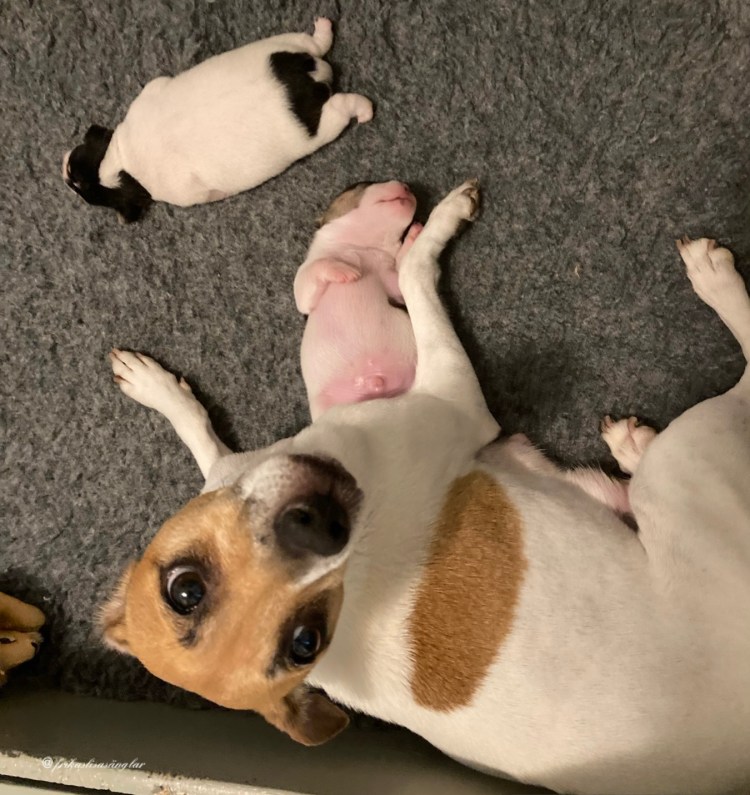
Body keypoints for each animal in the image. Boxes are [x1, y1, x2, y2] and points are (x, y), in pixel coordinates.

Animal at [62, 18, 372, 222]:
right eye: (76, 164)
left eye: (80, 188)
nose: (63, 173)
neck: (122, 161)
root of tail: (307, 75)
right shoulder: (152, 90)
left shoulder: (187, 193)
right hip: (278, 45)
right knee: (313, 42)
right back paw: (322, 28)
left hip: (320, 127)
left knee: (340, 108)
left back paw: (365, 108)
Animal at [102, 182, 750, 795]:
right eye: (306, 642)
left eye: (184, 589)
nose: (321, 523)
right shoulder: (452, 393)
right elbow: (416, 275)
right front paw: (439, 224)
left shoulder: (240, 469)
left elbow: (206, 440)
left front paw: (152, 385)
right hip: (687, 454)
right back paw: (710, 285)